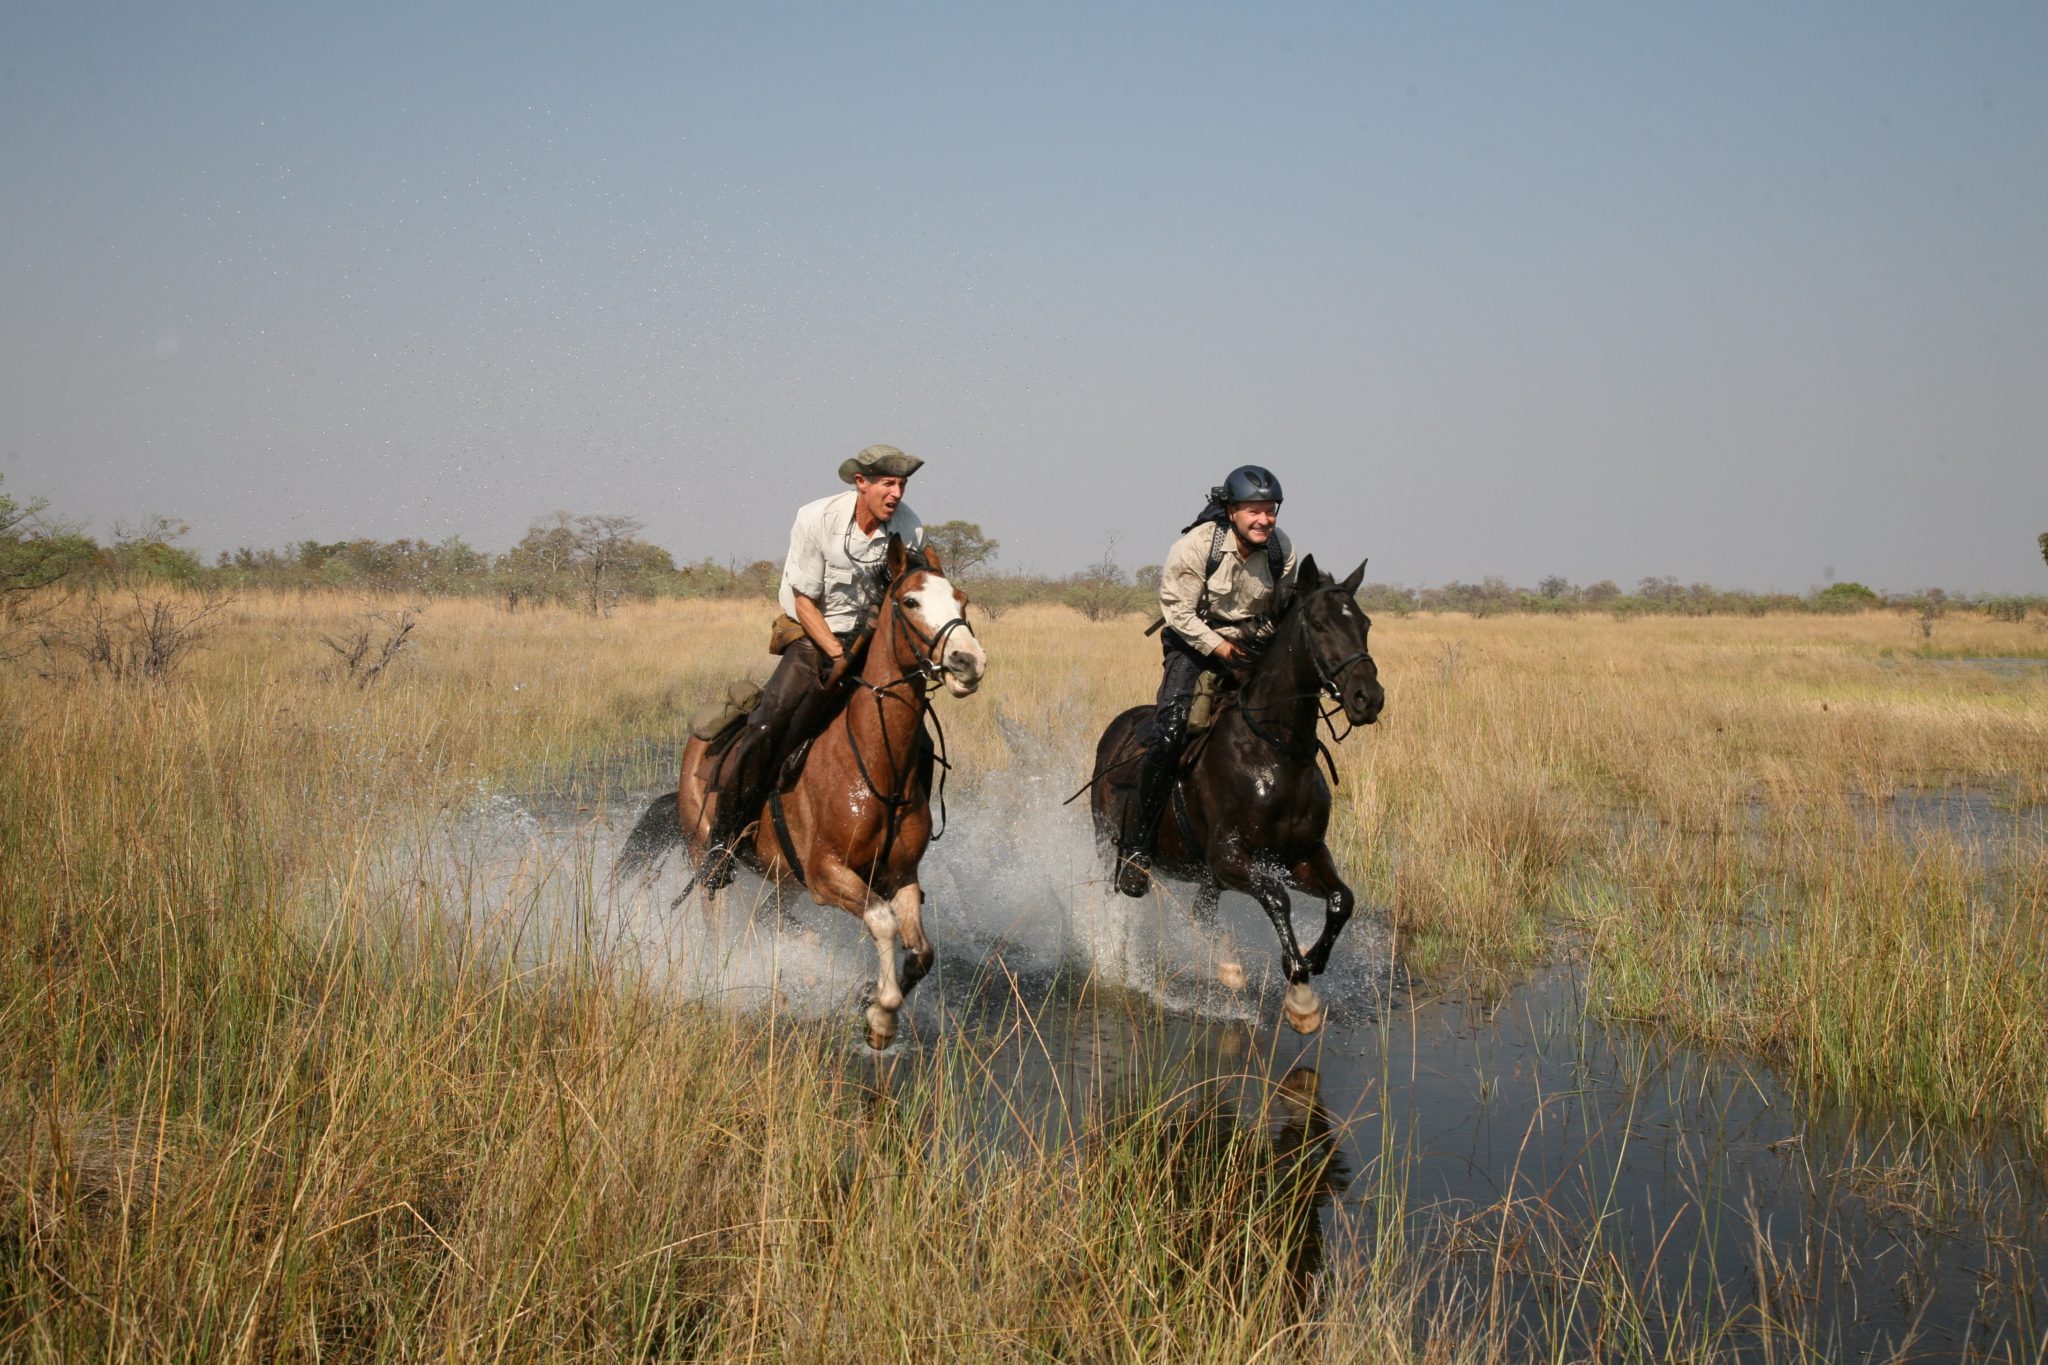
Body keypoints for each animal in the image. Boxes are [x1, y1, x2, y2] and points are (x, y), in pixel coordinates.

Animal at [625, 536, 988, 1049]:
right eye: (911, 602)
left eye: (961, 599)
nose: (968, 661)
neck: (875, 765)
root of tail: (697, 744)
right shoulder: (826, 874)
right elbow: (882, 923)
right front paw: (882, 1015)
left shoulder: (900, 876)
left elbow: (921, 952)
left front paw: (869, 1001)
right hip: (708, 859)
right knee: (716, 920)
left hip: (785, 881)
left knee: (769, 920)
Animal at [1089, 556, 1383, 1034]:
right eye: (1320, 624)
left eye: (1364, 623)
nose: (1368, 698)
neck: (1276, 754)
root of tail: (1115, 730)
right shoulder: (1231, 858)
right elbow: (1278, 899)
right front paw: (1300, 994)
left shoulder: (1301, 856)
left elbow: (1343, 901)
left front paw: (1313, 964)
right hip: (1110, 845)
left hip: (1207, 876)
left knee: (1203, 913)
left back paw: (1227, 966)